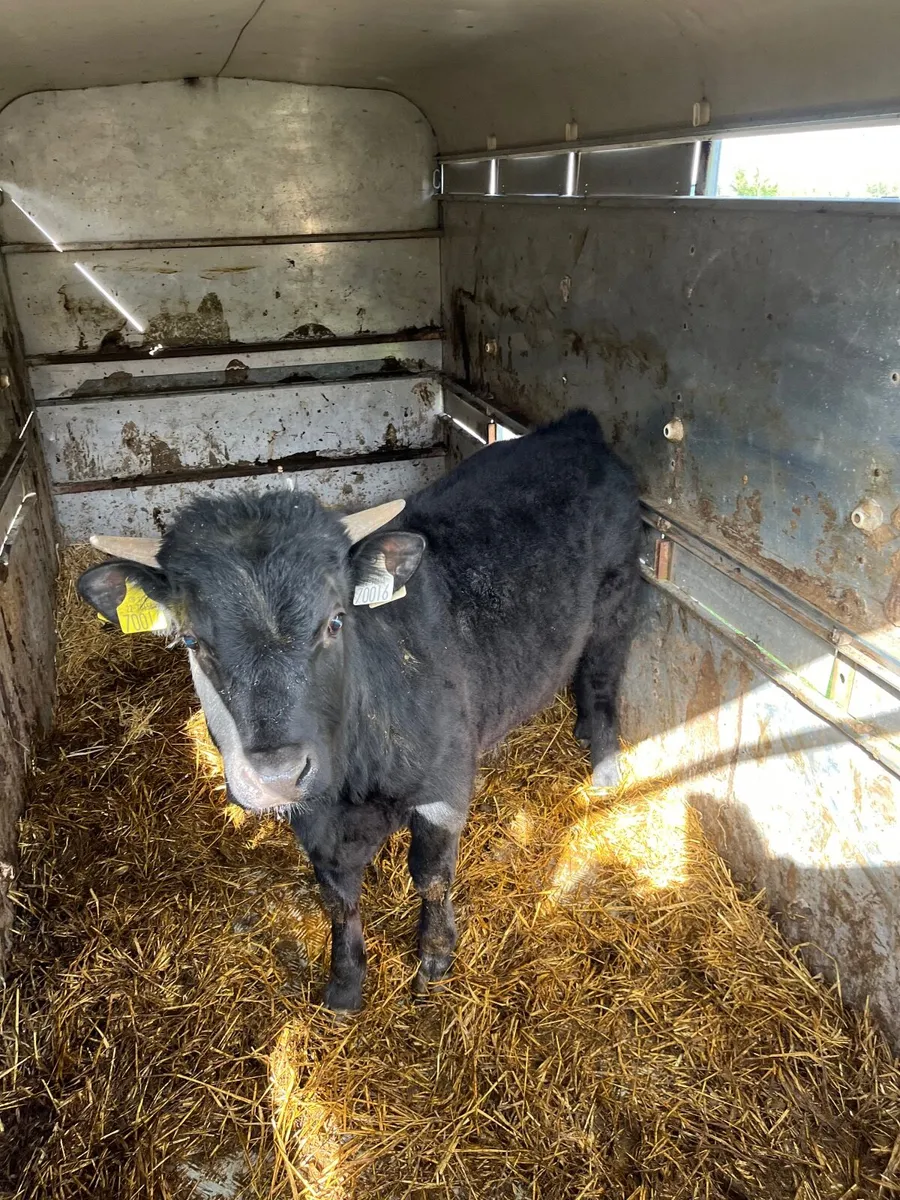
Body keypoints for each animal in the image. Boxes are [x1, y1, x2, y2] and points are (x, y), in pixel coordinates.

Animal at [77, 410, 641, 1011]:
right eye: (190, 640)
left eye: (335, 621)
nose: (276, 774)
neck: (353, 783)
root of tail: (575, 427)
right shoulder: (316, 825)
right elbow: (338, 897)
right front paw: (346, 982)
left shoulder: (444, 786)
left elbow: (432, 877)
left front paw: (434, 961)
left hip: (617, 598)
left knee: (602, 677)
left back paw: (606, 766)